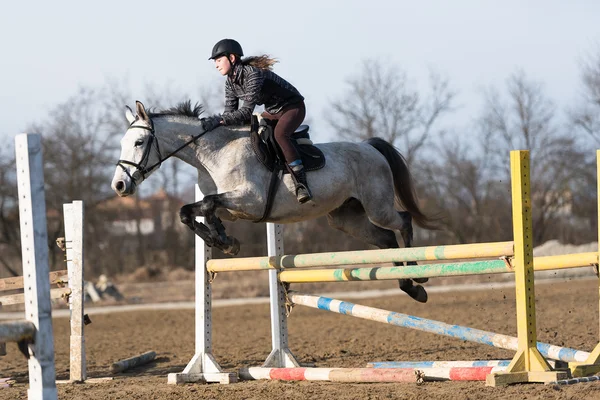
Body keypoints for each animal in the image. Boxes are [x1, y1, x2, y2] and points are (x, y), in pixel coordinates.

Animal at [111, 101, 436, 304]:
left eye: (139, 143)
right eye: (123, 144)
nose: (119, 186)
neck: (213, 153)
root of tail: (370, 147)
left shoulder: (250, 201)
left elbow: (207, 205)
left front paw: (224, 241)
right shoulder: (234, 209)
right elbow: (189, 211)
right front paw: (223, 240)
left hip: (377, 206)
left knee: (402, 221)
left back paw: (419, 272)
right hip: (347, 218)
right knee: (385, 239)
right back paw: (409, 286)